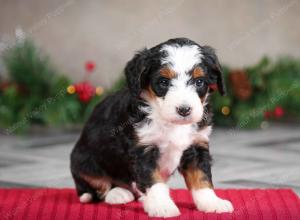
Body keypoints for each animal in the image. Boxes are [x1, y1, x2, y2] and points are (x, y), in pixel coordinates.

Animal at [71, 37, 234, 217]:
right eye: (163, 82)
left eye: (199, 82)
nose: (184, 110)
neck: (169, 122)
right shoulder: (143, 149)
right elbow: (154, 181)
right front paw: (162, 206)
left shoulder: (197, 146)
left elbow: (202, 178)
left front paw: (212, 202)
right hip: (83, 161)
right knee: (96, 186)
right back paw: (118, 193)